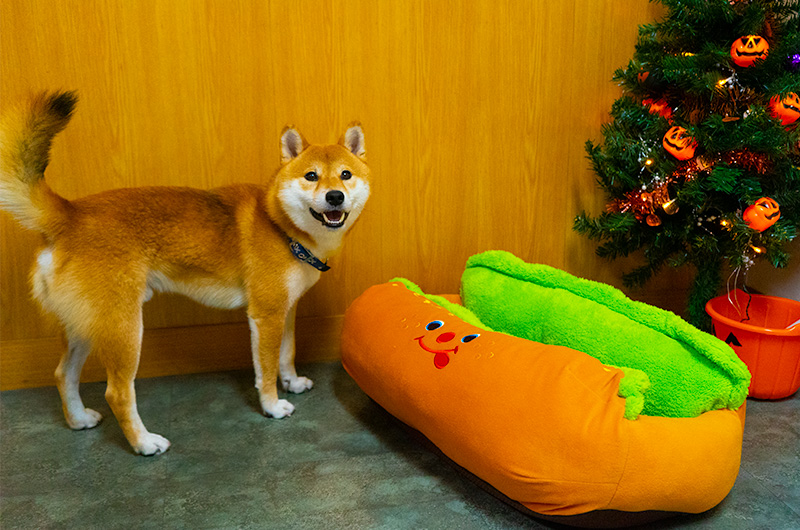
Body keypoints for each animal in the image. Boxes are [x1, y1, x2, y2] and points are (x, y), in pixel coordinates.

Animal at [0, 92, 372, 454]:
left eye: (345, 175)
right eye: (311, 176)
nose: (335, 196)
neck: (280, 225)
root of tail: (69, 216)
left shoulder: (286, 309)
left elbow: (287, 353)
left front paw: (291, 382)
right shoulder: (265, 315)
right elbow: (265, 369)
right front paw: (272, 405)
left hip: (86, 324)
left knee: (63, 374)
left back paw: (78, 420)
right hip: (124, 329)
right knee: (116, 393)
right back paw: (144, 443)